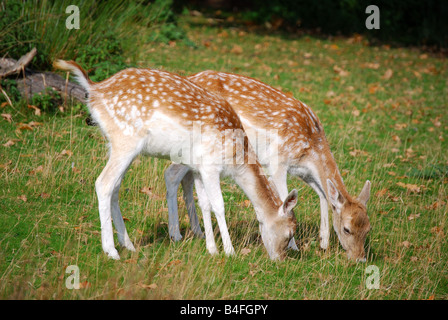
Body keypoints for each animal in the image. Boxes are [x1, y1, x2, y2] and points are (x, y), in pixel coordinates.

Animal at [53, 59, 298, 260]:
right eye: (289, 233)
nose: (279, 259)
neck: (237, 158)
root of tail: (94, 89)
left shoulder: (198, 168)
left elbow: (204, 204)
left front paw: (211, 248)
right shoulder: (210, 165)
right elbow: (219, 205)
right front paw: (229, 251)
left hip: (117, 145)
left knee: (115, 186)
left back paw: (129, 244)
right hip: (126, 140)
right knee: (103, 183)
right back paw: (112, 251)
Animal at [164, 70, 372, 262]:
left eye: (368, 229)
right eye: (347, 229)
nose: (360, 258)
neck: (310, 146)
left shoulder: (304, 172)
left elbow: (322, 194)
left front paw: (324, 243)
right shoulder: (277, 161)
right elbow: (286, 199)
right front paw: (294, 246)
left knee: (186, 178)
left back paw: (197, 232)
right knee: (171, 173)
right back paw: (177, 234)